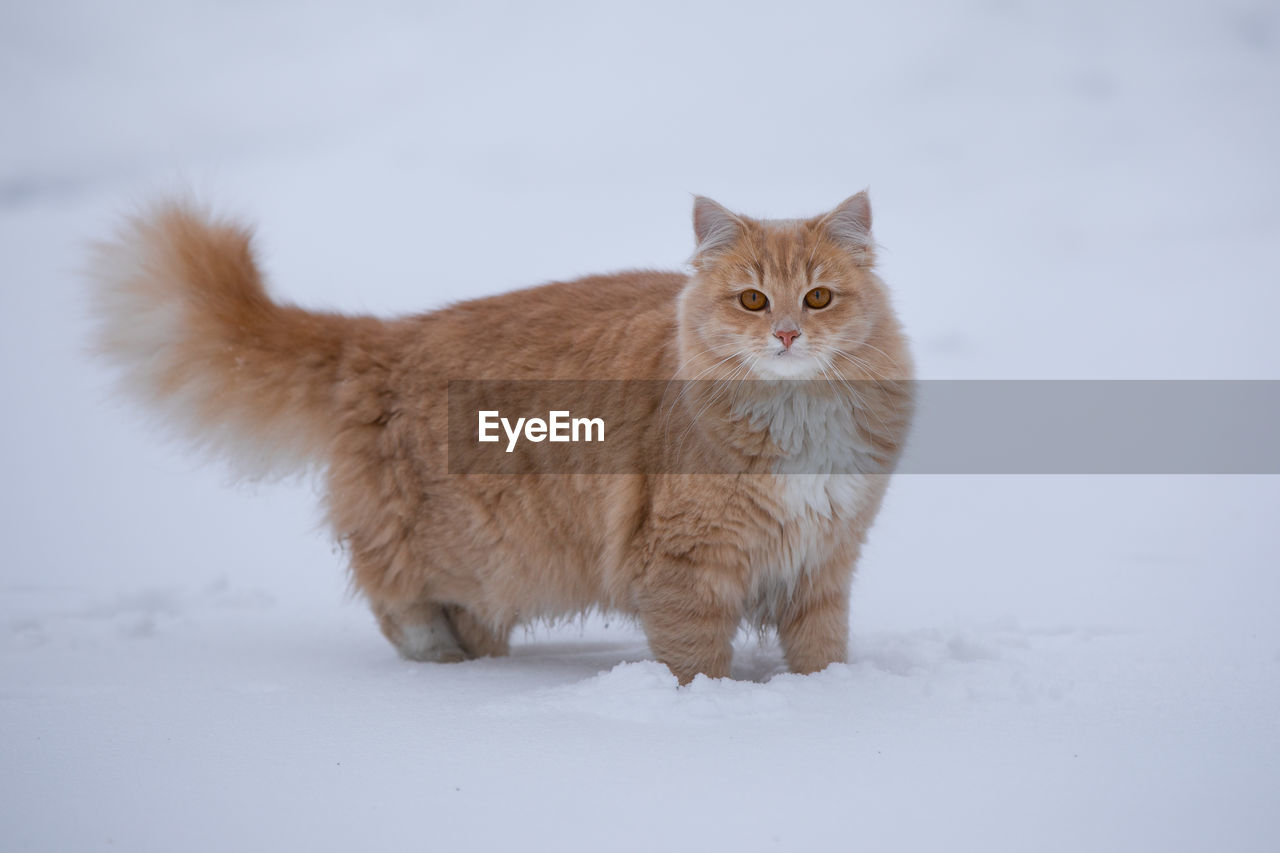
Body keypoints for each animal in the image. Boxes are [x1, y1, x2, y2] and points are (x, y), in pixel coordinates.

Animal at [87, 189, 911, 681]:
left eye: (818, 298)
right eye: (751, 299)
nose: (786, 334)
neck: (797, 417)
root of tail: (384, 338)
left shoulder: (824, 557)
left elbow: (819, 649)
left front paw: (823, 696)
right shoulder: (686, 562)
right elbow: (692, 656)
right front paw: (709, 705)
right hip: (465, 546)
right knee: (391, 591)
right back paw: (440, 660)